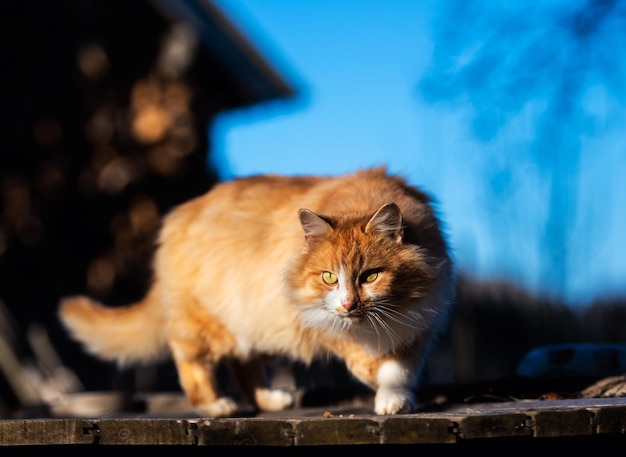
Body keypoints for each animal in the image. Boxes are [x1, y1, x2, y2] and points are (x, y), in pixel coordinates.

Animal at [58, 167, 454, 416]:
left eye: (370, 276)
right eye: (329, 277)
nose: (348, 304)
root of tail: (177, 217)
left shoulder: (421, 322)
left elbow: (400, 370)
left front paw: (393, 398)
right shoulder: (312, 317)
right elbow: (367, 361)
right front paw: (376, 377)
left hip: (254, 329)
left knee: (242, 364)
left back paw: (270, 401)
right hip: (210, 322)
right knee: (191, 360)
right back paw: (216, 406)